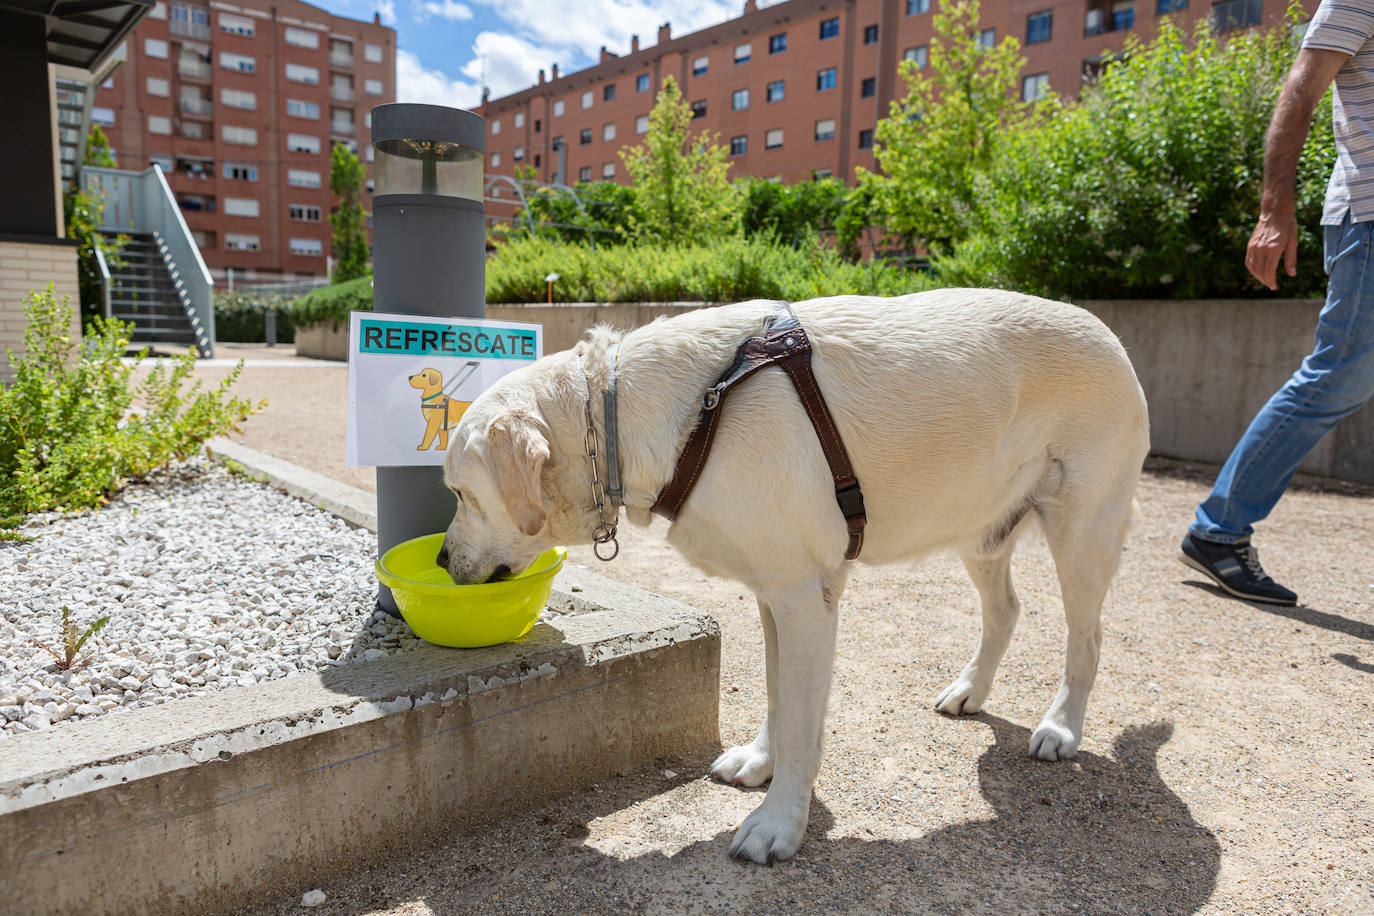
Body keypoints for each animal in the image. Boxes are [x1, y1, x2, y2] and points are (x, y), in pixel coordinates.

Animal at [436, 292, 1148, 867]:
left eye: (460, 494)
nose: (441, 561)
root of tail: (1110, 332)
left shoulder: (807, 597)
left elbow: (804, 720)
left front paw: (779, 824)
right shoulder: (772, 590)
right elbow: (778, 694)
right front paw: (761, 761)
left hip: (1082, 533)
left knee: (1087, 640)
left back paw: (1061, 728)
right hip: (980, 529)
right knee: (1005, 610)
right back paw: (970, 690)